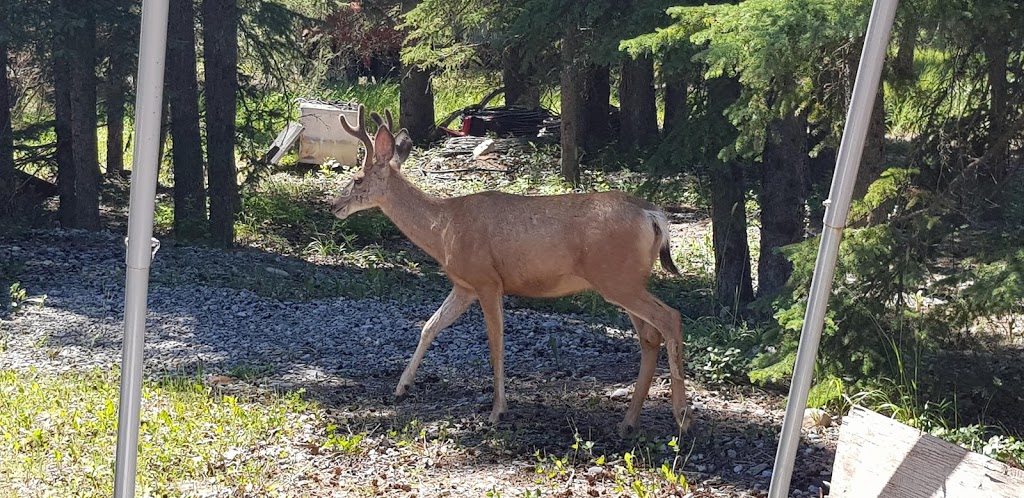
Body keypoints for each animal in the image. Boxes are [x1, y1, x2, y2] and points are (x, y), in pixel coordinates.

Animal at [331, 104, 692, 436]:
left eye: (357, 179)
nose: (335, 205)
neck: (443, 228)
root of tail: (653, 215)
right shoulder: (464, 285)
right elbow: (429, 326)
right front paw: (401, 387)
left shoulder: (487, 280)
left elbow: (496, 343)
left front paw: (497, 411)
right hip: (624, 279)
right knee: (649, 336)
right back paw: (628, 421)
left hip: (616, 278)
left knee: (670, 318)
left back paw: (681, 417)